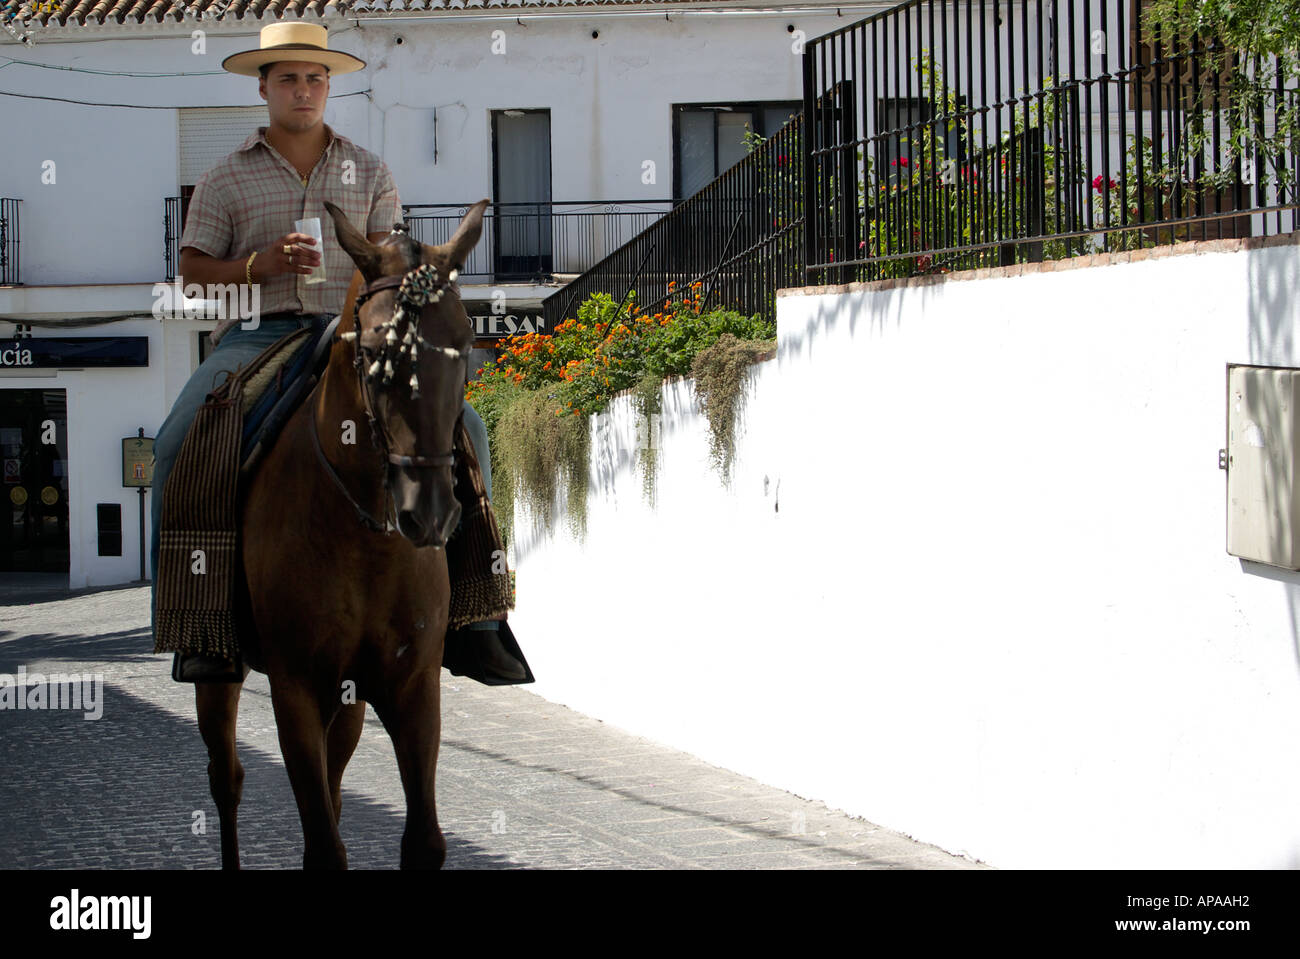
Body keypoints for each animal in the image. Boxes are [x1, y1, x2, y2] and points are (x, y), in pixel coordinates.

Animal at [188, 197, 483, 862]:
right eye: (374, 350)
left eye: (466, 345)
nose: (430, 513)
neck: (364, 533)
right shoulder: (295, 690)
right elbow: (323, 846)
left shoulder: (413, 689)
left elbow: (422, 839)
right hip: (220, 678)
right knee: (226, 780)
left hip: (350, 698)